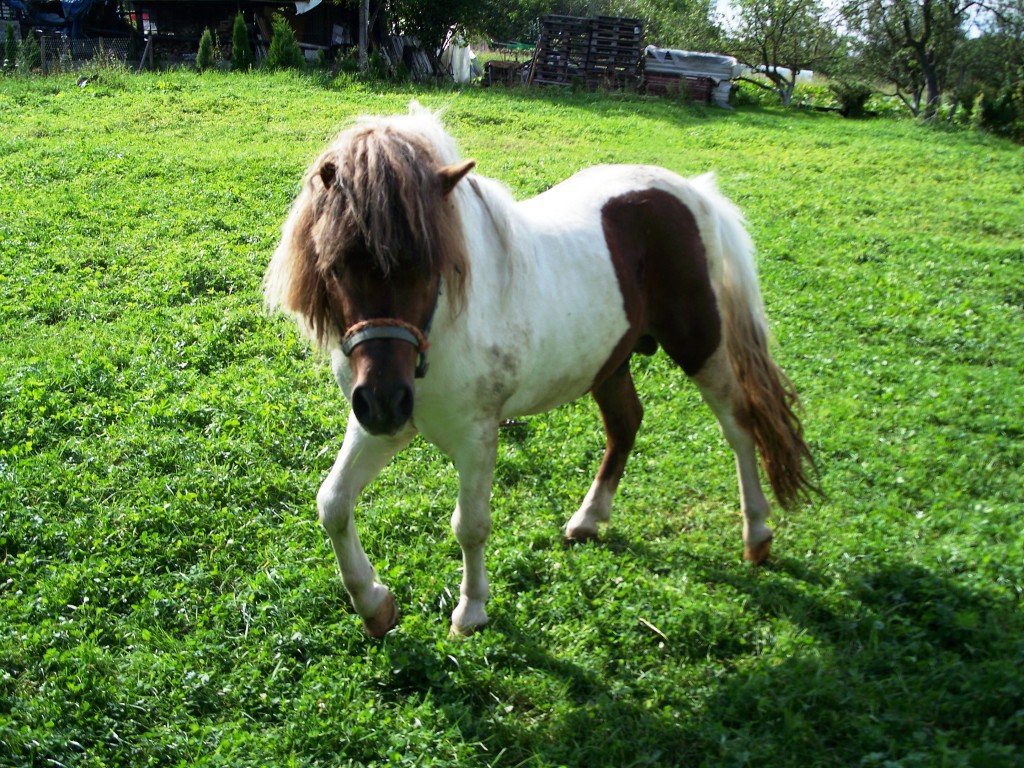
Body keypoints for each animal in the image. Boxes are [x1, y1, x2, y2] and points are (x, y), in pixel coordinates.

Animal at [264, 103, 816, 638]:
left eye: (428, 265)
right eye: (336, 266)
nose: (384, 400)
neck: (444, 325)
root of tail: (692, 192)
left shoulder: (474, 434)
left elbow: (470, 524)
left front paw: (471, 611)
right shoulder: (383, 428)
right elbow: (333, 503)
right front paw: (374, 604)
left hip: (701, 345)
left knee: (739, 425)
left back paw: (757, 533)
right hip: (610, 361)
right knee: (626, 423)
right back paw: (589, 519)